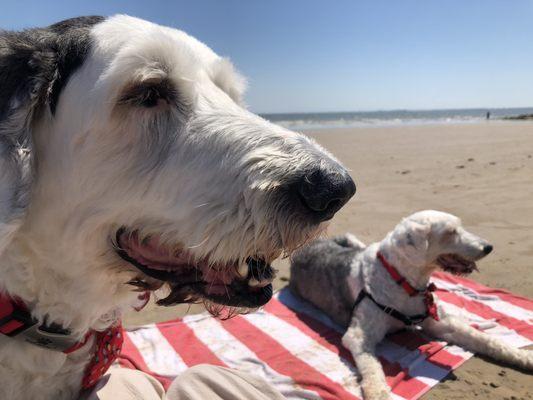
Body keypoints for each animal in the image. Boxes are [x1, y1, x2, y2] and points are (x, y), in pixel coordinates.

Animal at [290, 209, 532, 400]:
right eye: (449, 232)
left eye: (460, 227)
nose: (488, 247)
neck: (405, 282)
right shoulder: (358, 337)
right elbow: (373, 369)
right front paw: (379, 393)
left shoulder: (441, 324)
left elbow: (485, 339)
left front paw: (523, 357)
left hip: (352, 239)